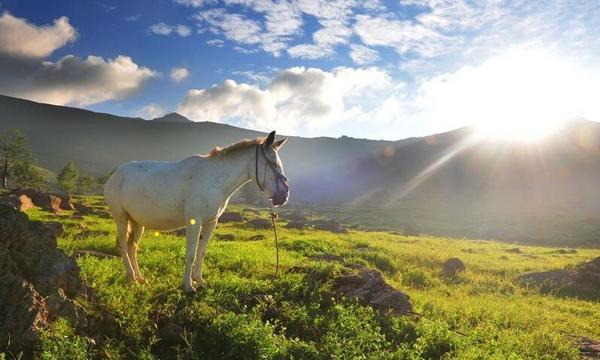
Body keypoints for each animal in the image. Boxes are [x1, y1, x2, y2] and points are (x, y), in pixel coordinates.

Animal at [103, 132, 288, 292]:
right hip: (121, 218)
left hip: (137, 222)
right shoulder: (194, 222)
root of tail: (116, 174)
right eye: (272, 164)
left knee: (132, 247)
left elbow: (201, 253)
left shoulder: (210, 223)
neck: (214, 178)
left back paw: (140, 278)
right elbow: (191, 254)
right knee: (123, 246)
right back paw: (131, 277)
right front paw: (188, 286)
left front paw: (199, 281)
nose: (284, 195)